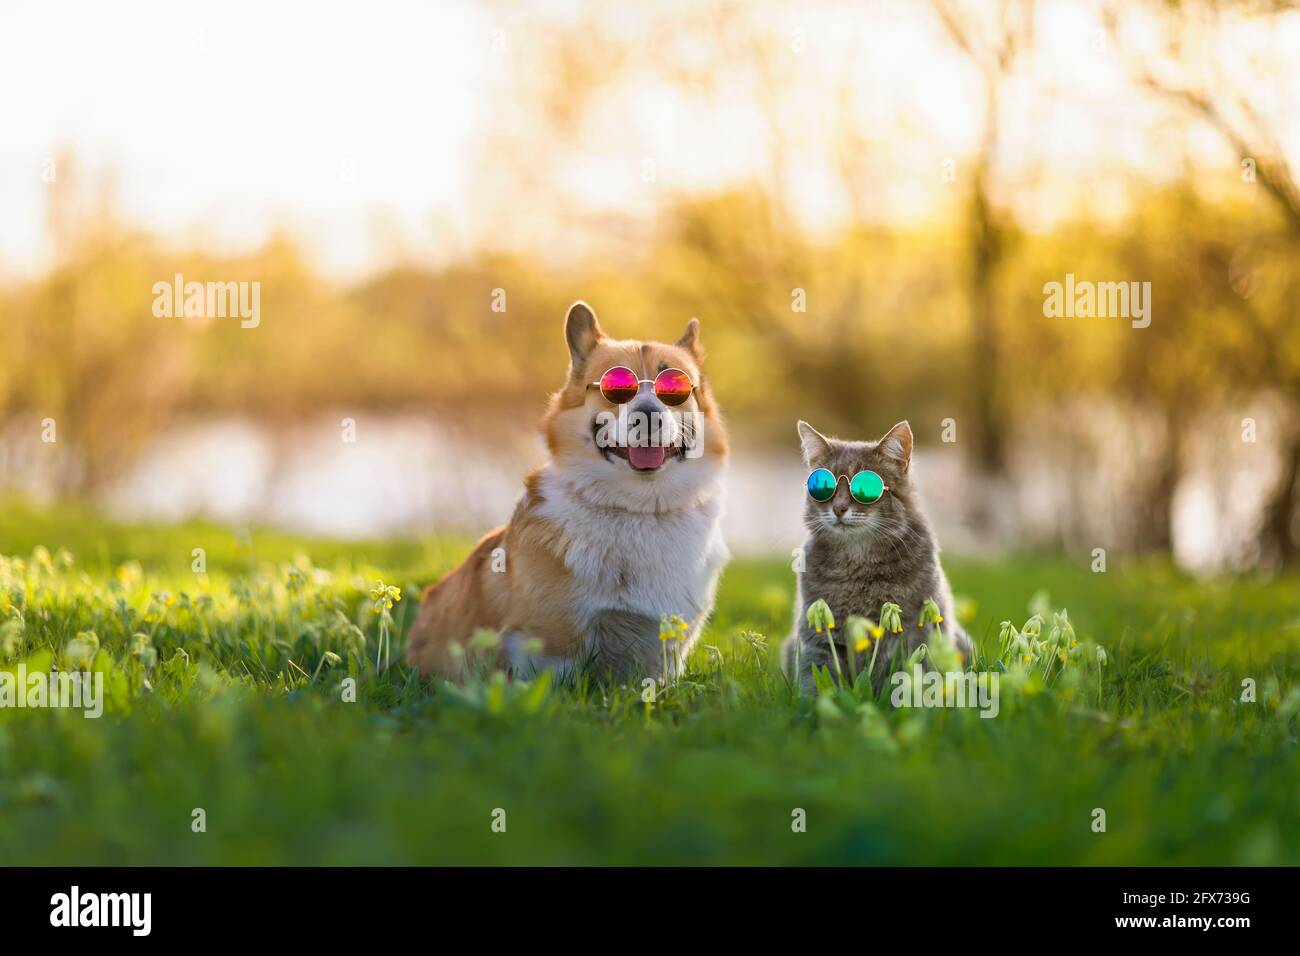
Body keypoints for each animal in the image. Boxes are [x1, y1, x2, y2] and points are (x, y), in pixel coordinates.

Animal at [405, 299, 728, 681]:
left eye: (675, 388)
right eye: (615, 387)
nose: (649, 415)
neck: (641, 508)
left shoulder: (664, 651)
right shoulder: (548, 645)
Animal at [774, 418, 972, 686]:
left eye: (865, 487)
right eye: (823, 485)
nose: (839, 508)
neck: (859, 562)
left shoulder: (915, 627)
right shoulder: (817, 629)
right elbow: (817, 678)